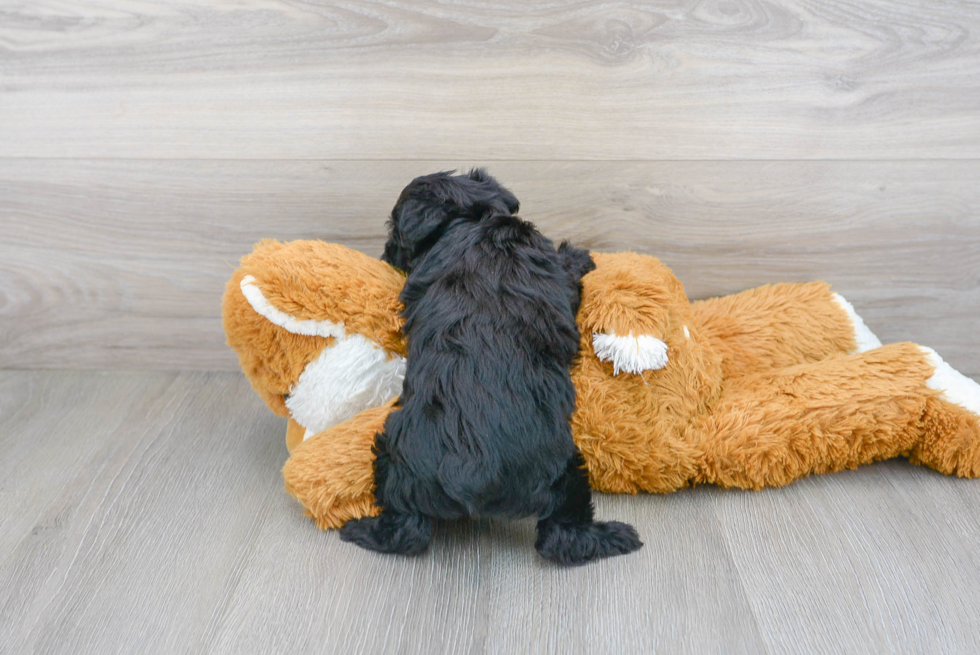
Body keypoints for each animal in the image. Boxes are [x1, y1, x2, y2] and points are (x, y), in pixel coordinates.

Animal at [340, 172, 648, 568]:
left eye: (395, 232)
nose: (386, 253)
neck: (474, 219)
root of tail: (470, 472)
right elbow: (568, 267)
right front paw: (580, 254)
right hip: (563, 468)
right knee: (561, 534)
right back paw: (615, 536)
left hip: (393, 457)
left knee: (406, 530)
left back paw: (360, 528)